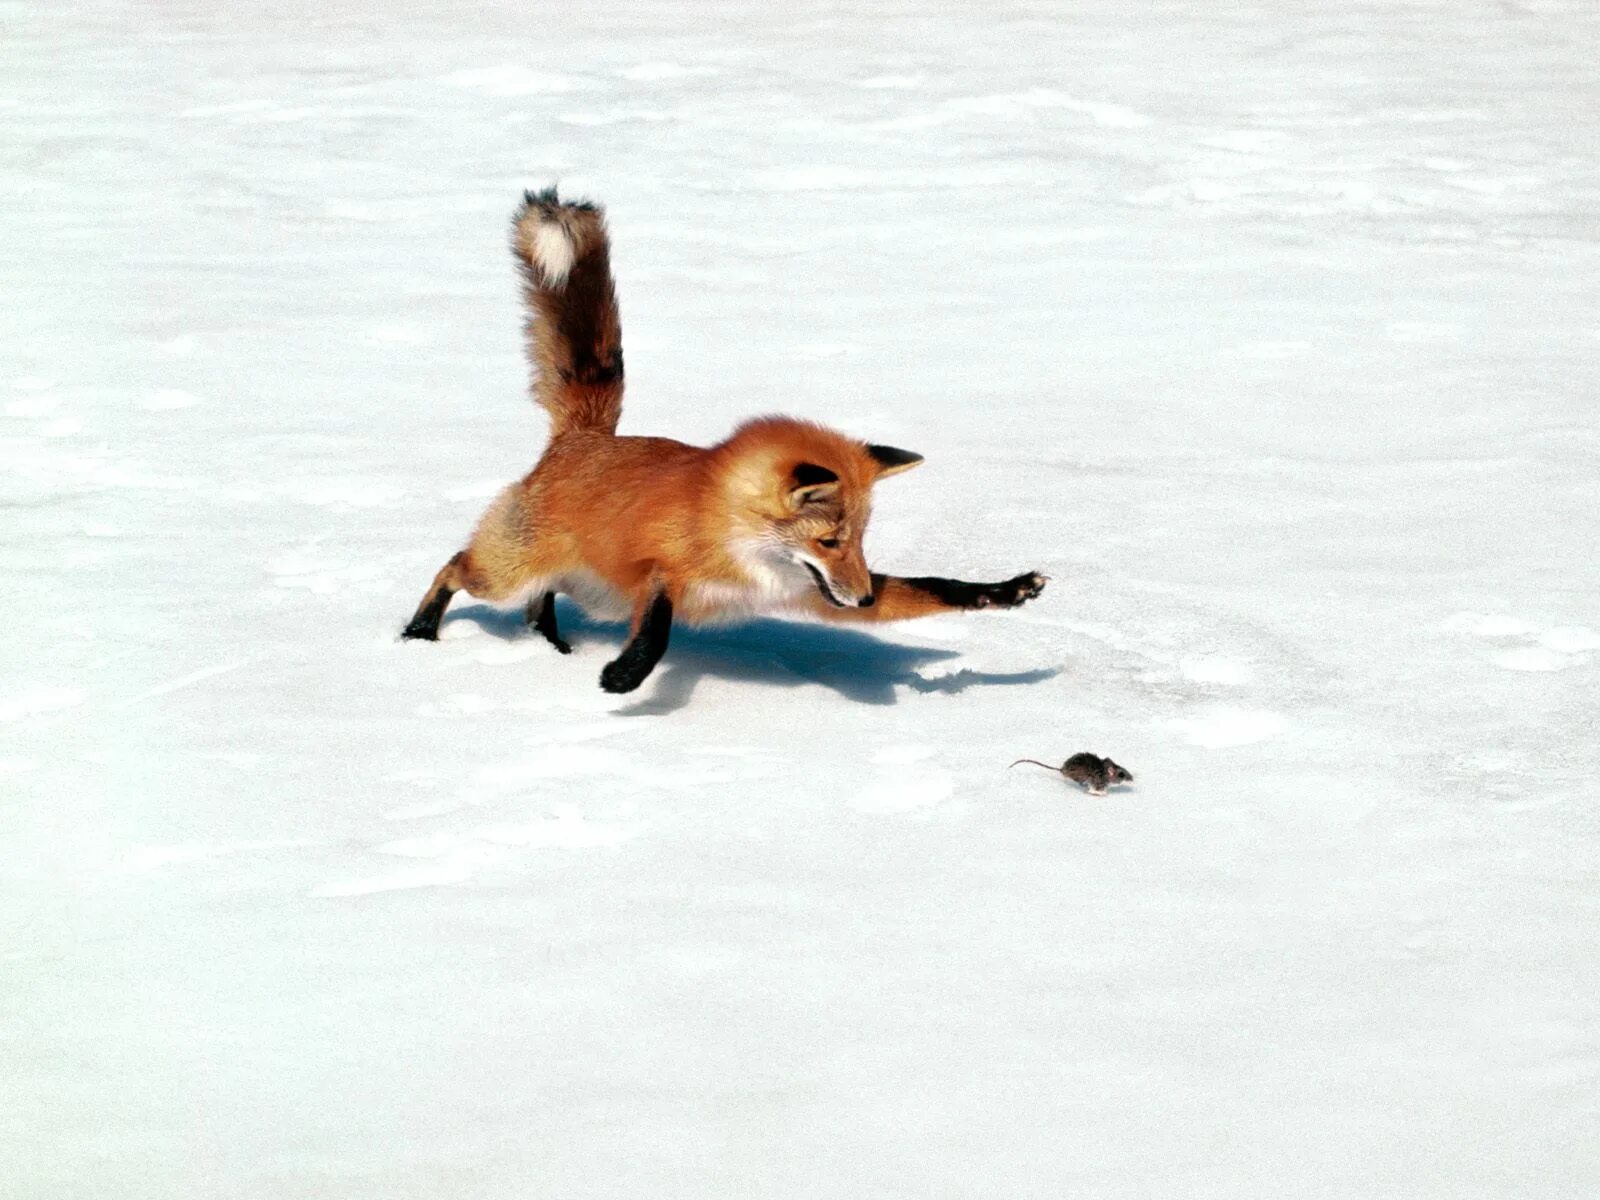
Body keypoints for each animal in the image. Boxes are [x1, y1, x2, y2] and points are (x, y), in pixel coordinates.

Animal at [406, 190, 1043, 694]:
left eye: (861, 541)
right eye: (830, 540)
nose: (862, 598)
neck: (738, 544)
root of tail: (583, 437)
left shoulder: (812, 592)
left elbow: (938, 587)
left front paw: (1005, 591)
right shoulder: (659, 570)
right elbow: (659, 627)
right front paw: (627, 675)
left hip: (574, 585)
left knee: (538, 604)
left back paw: (550, 646)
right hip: (507, 573)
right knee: (454, 567)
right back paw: (418, 632)